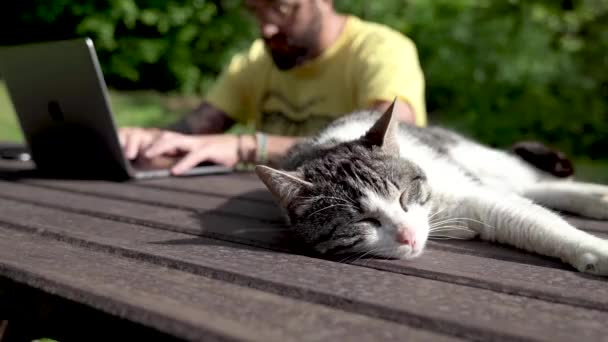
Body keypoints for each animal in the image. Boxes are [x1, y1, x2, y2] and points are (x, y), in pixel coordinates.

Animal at [254, 101, 608, 276]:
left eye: (402, 196)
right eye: (364, 221)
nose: (408, 235)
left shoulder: (477, 195)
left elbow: (538, 223)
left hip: (475, 159)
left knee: (531, 180)